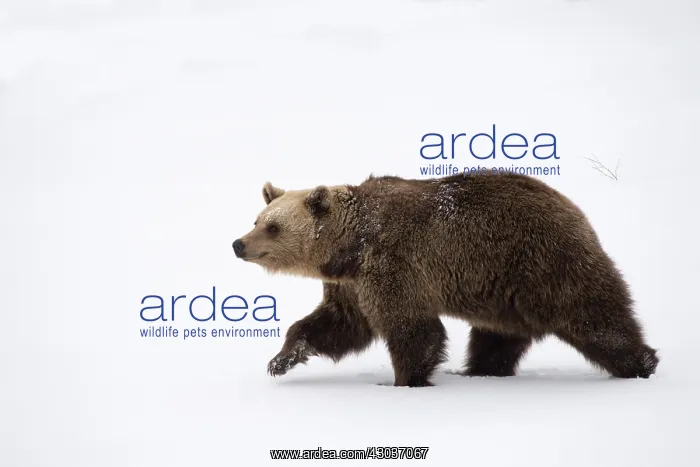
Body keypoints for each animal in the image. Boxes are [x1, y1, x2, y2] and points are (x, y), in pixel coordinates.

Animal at [232, 173, 659, 387]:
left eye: (272, 226)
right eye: (257, 219)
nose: (239, 244)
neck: (350, 246)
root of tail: (573, 207)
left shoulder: (392, 263)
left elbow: (412, 329)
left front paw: (407, 380)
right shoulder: (350, 283)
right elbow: (338, 325)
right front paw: (282, 359)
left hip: (539, 261)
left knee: (594, 315)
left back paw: (642, 363)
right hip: (500, 289)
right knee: (498, 336)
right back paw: (482, 370)